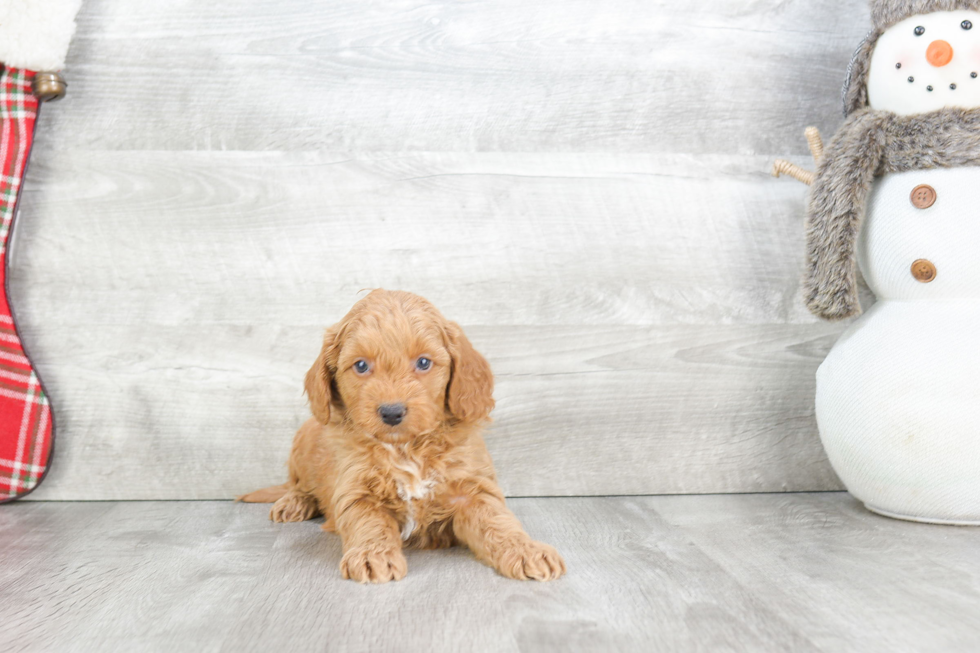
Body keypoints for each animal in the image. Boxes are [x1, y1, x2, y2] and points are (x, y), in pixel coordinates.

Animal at [241, 288, 568, 584]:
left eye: (423, 362)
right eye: (361, 365)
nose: (392, 412)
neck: (406, 448)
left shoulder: (472, 490)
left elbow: (498, 522)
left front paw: (526, 550)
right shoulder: (356, 492)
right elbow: (369, 523)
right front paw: (372, 555)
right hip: (304, 436)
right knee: (298, 484)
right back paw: (294, 502)